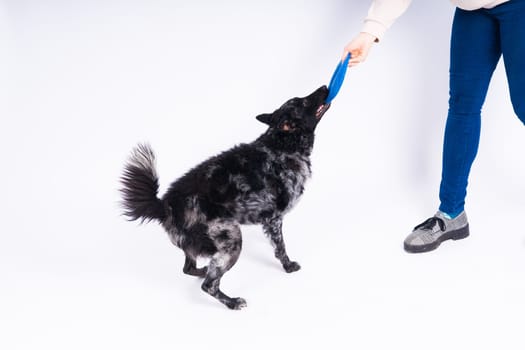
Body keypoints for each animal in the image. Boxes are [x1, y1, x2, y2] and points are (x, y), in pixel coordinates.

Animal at [121, 85, 330, 308]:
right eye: (304, 102)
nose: (325, 87)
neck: (281, 145)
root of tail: (166, 205)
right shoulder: (274, 219)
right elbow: (280, 247)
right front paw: (288, 266)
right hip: (232, 241)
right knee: (209, 285)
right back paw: (232, 302)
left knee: (188, 268)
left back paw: (202, 271)